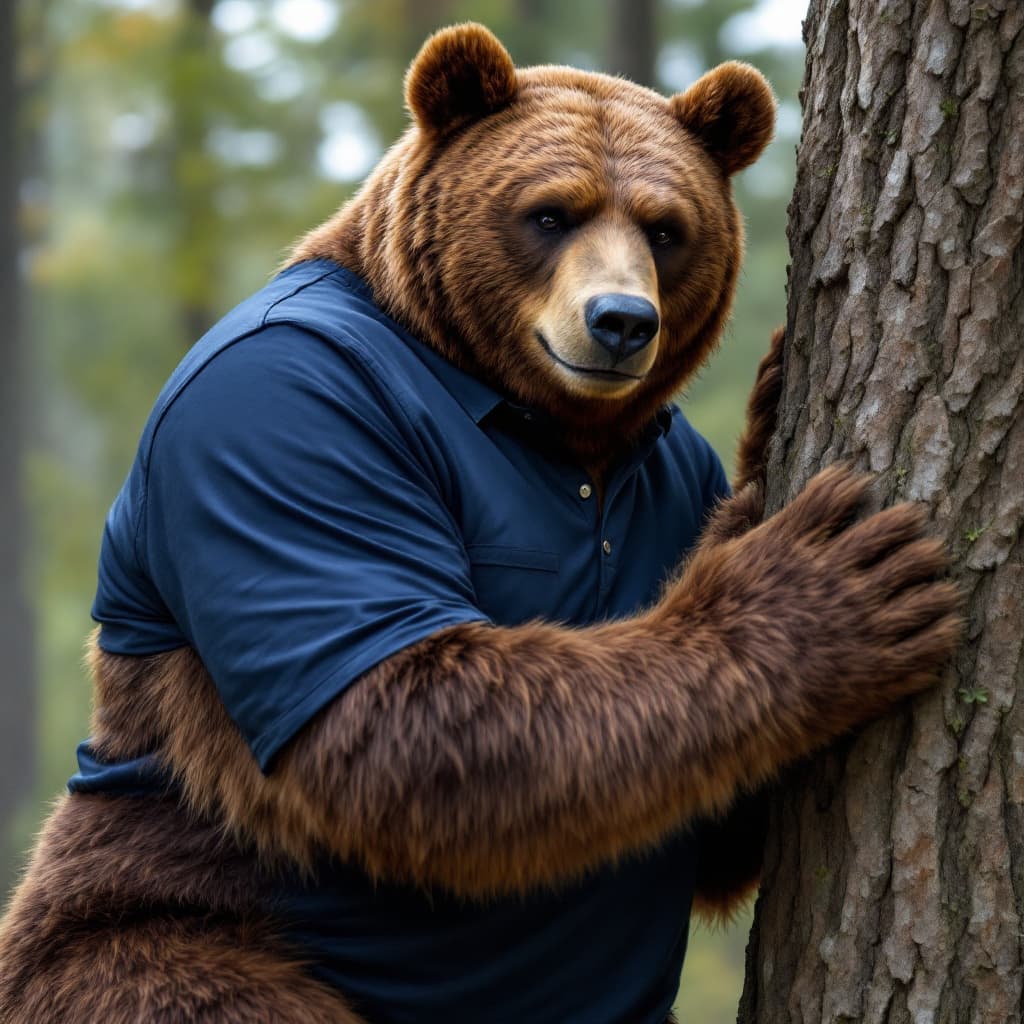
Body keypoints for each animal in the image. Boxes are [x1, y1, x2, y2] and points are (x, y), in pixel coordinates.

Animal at [0, 23, 960, 1024]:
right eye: (552, 213)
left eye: (666, 228)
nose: (622, 321)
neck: (549, 422)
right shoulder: (286, 424)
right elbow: (410, 714)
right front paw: (839, 584)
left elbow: (718, 830)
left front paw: (771, 421)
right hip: (161, 919)